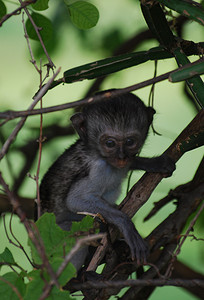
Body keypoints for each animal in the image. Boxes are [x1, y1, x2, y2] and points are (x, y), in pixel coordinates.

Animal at [39, 89, 175, 270]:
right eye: (110, 143)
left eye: (130, 142)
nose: (121, 157)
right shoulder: (98, 169)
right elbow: (75, 200)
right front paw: (126, 225)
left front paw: (155, 163)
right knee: (74, 233)